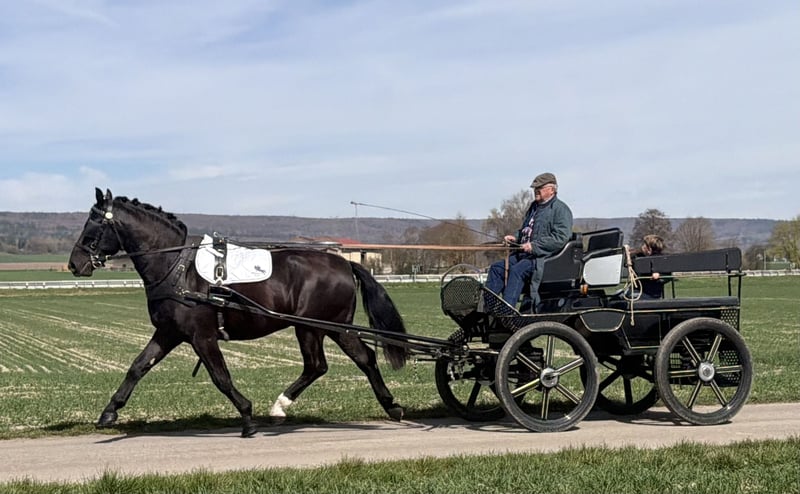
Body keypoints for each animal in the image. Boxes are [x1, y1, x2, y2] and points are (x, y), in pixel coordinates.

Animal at [68, 188, 409, 437]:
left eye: (93, 224)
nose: (74, 263)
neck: (176, 268)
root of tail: (344, 264)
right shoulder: (169, 332)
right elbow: (138, 367)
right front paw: (110, 411)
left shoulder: (201, 337)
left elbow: (220, 377)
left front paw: (246, 417)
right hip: (324, 327)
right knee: (344, 361)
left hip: (317, 326)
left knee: (335, 362)